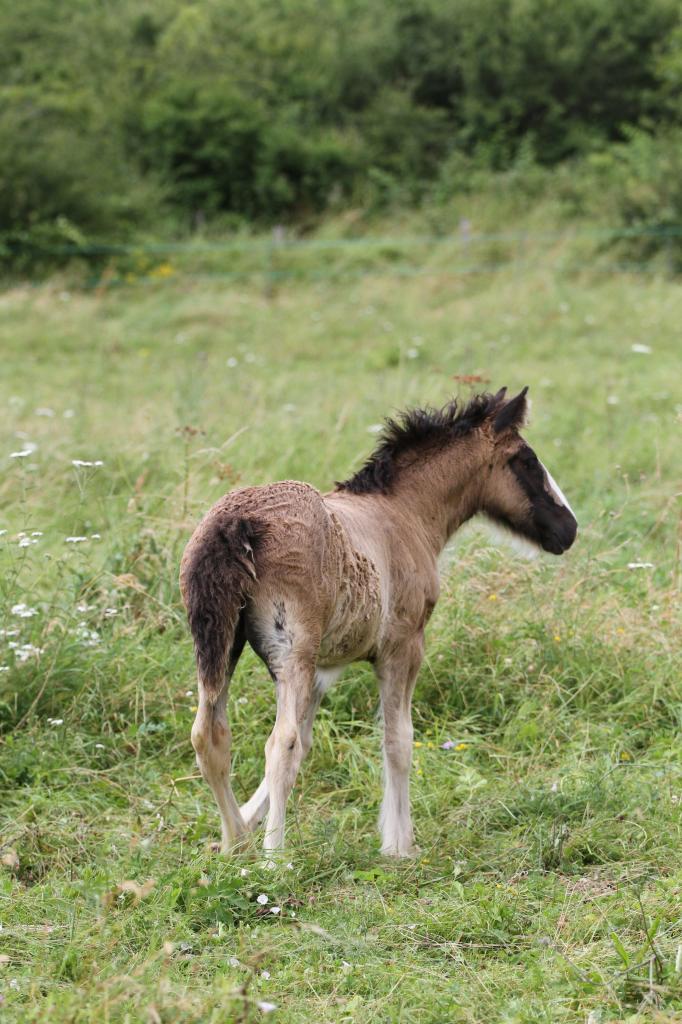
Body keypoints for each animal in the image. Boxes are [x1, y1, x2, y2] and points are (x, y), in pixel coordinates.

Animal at [179, 387, 573, 860]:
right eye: (526, 460)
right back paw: (275, 859)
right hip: (292, 650)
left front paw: (248, 819)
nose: (568, 529)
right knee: (279, 744)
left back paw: (234, 841)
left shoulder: (326, 667)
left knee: (210, 735)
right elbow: (396, 740)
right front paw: (399, 844)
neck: (403, 513)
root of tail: (238, 523)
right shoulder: (403, 647)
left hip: (219, 645)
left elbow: (310, 740)